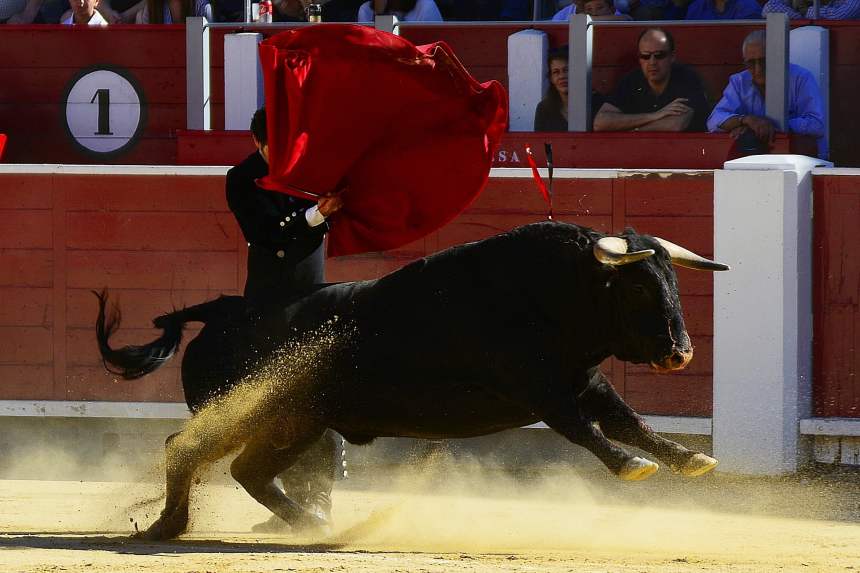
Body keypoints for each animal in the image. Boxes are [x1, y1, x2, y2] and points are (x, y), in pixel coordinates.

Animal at [95, 221, 728, 541]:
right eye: (639, 287)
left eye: (672, 279)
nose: (681, 352)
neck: (547, 292)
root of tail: (225, 310)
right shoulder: (542, 390)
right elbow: (585, 430)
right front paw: (632, 468)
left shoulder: (585, 381)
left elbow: (629, 420)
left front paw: (689, 459)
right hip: (250, 410)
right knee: (185, 449)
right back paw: (167, 527)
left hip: (295, 421)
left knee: (248, 470)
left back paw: (310, 526)